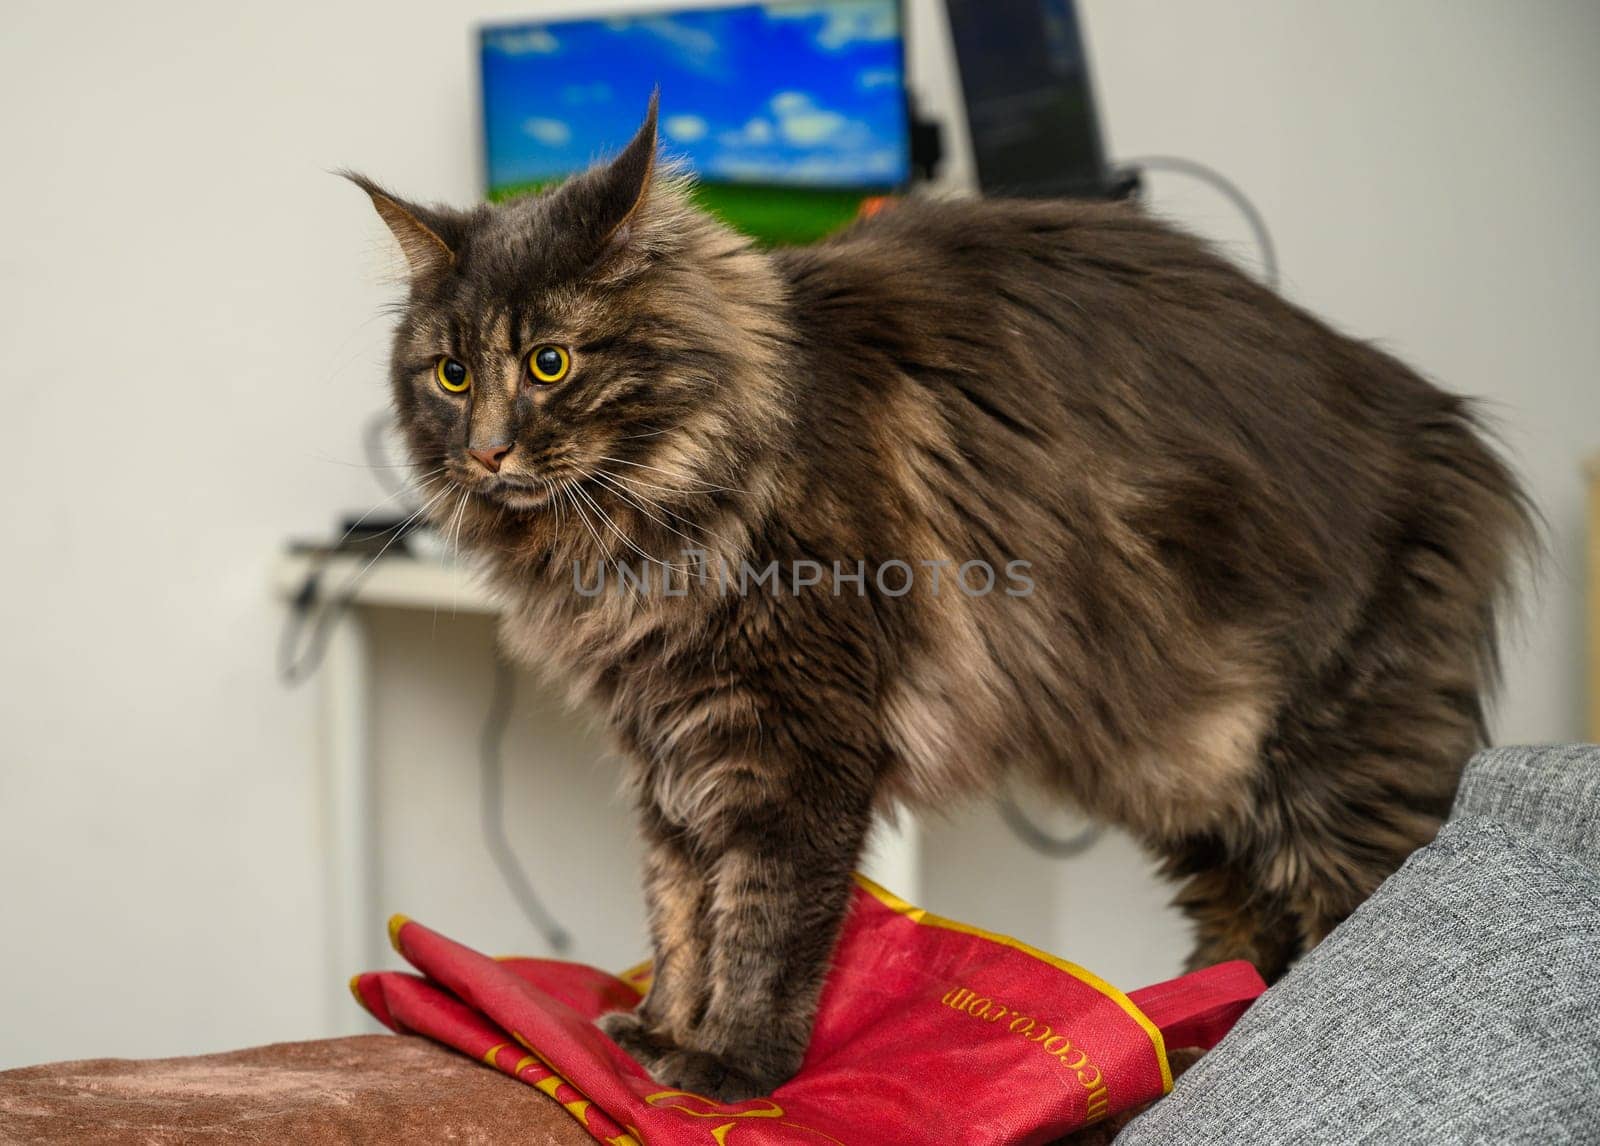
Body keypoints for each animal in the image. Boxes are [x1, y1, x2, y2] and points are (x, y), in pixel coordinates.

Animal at [347, 100, 1523, 1101]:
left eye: (550, 364)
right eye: (452, 375)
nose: (486, 450)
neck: (649, 523)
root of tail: (1449, 430)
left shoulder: (797, 746)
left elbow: (761, 920)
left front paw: (730, 1067)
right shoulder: (668, 751)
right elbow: (679, 910)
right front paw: (660, 1034)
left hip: (1325, 767)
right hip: (1190, 773)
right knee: (1247, 929)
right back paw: (1191, 1046)